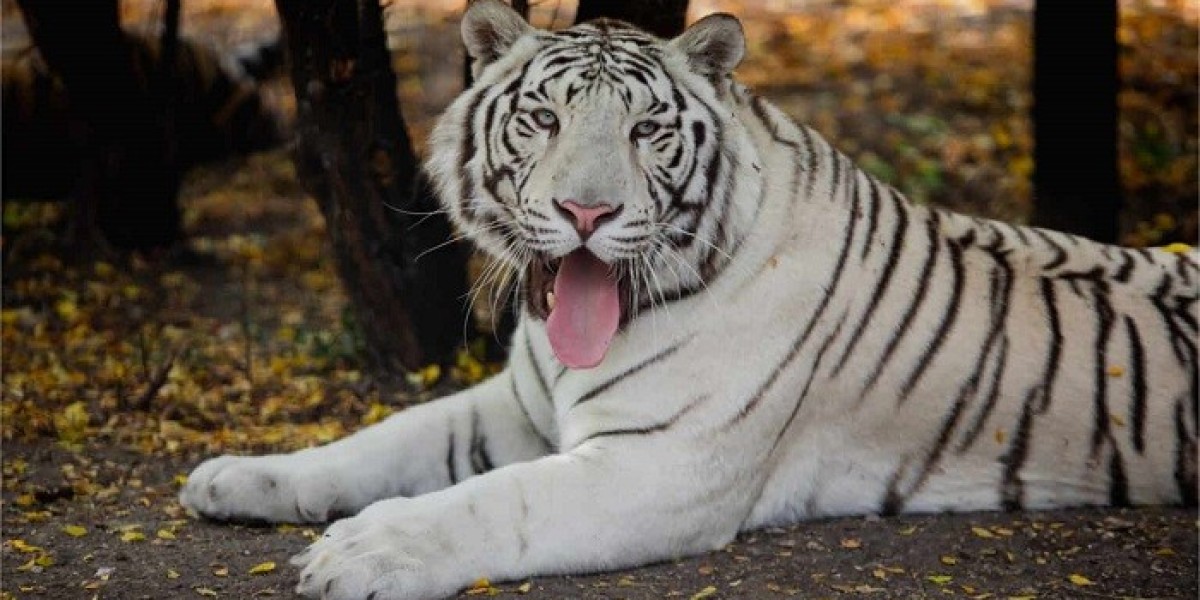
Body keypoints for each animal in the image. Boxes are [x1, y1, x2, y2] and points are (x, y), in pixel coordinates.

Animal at [180, 2, 1199, 598]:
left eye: (645, 131)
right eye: (543, 119)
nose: (586, 212)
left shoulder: (660, 467)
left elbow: (493, 502)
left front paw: (360, 553)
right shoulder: (517, 406)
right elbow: (379, 440)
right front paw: (234, 478)